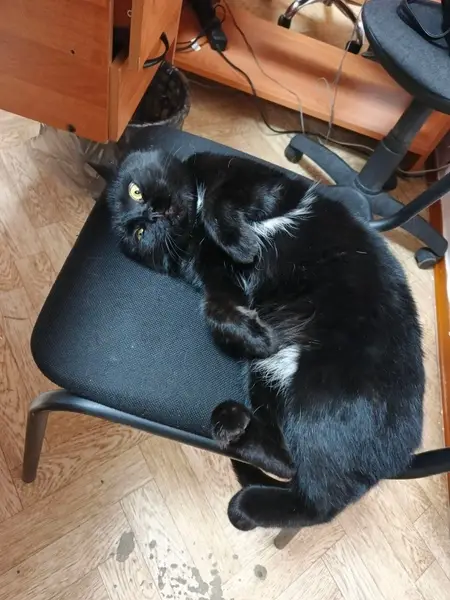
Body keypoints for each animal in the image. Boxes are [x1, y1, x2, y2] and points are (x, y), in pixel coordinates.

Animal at [106, 148, 426, 531]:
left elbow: (219, 202)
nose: (151, 216)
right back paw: (234, 436)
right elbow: (215, 309)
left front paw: (243, 247)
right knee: (301, 482)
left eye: (136, 192)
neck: (193, 231)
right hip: (274, 381)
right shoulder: (215, 279)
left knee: (315, 494)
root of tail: (398, 458)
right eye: (140, 233)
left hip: (320, 394)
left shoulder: (259, 182)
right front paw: (259, 337)